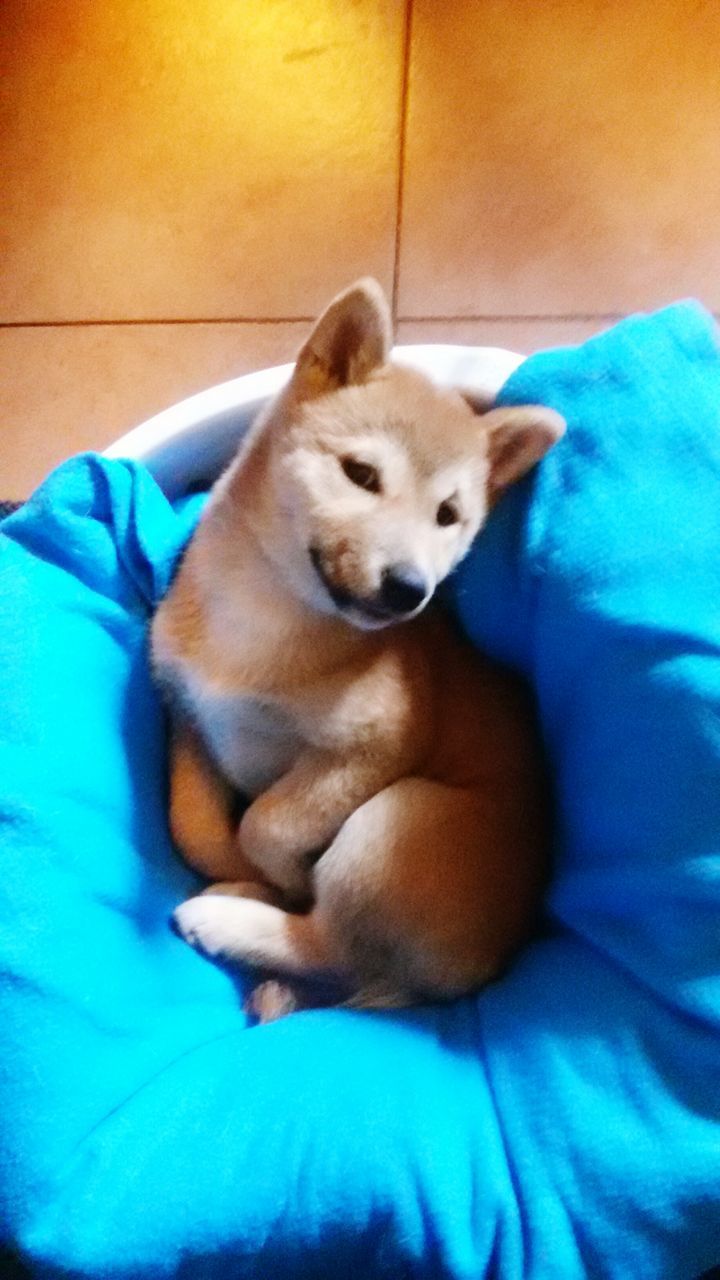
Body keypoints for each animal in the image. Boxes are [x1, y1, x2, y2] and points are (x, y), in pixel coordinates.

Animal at [151, 277, 563, 1008]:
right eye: (362, 475)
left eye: (448, 516)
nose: (409, 588)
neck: (267, 618)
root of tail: (480, 972)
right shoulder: (188, 715)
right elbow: (193, 826)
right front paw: (238, 866)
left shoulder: (377, 745)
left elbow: (267, 822)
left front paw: (278, 876)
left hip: (397, 821)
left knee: (330, 949)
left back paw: (230, 918)